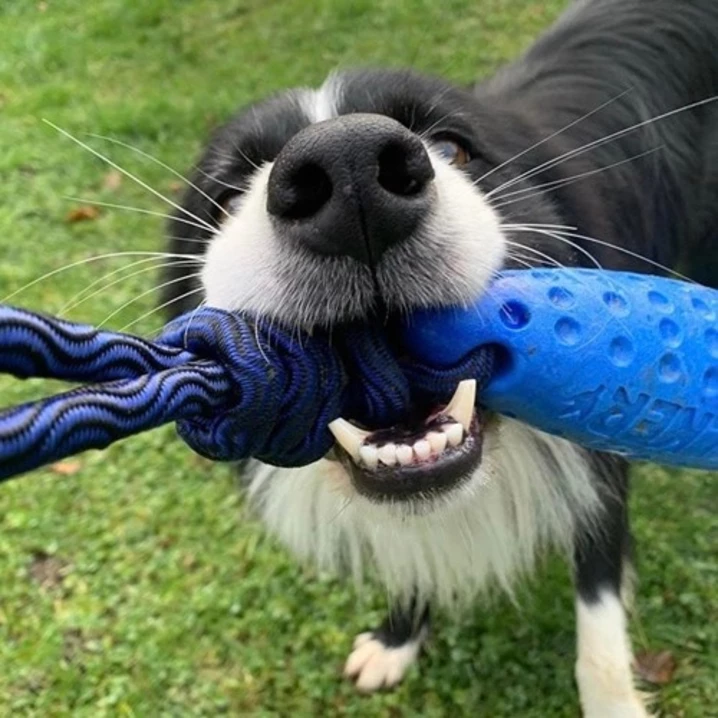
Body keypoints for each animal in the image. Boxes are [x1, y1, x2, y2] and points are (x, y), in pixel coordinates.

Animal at [162, 2, 718, 716]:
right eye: (227, 198)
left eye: (453, 148)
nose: (349, 172)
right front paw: (397, 638)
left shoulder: (600, 449)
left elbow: (598, 625)